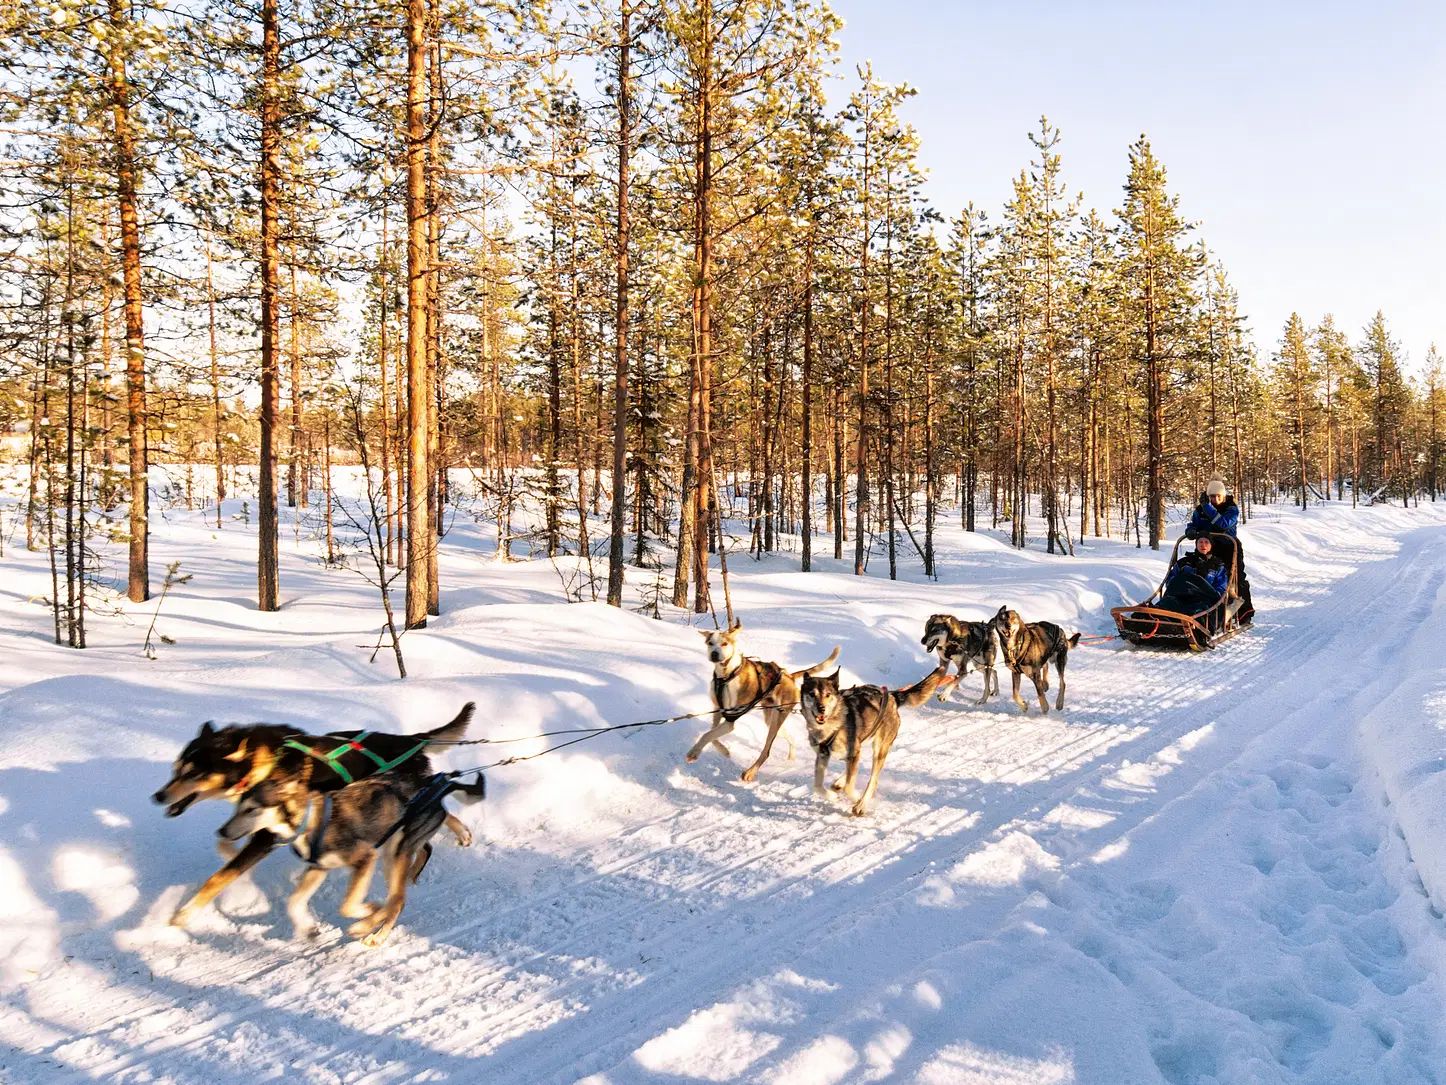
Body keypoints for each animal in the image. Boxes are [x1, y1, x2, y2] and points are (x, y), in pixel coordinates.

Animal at [160, 704, 475, 928]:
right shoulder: (254, 823)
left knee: (435, 824)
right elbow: (226, 845)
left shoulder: (269, 829)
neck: (262, 761)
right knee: (431, 833)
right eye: (175, 769)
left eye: (192, 773)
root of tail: (411, 740)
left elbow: (219, 877)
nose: (158, 796)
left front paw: (183, 914)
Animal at [686, 621, 841, 783]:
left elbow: (707, 735)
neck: (726, 676)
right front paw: (724, 751)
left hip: (775, 721)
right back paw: (791, 758)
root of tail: (789, 676)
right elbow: (712, 736)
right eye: (710, 643)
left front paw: (693, 752)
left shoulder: (730, 720)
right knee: (790, 738)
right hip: (771, 718)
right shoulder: (718, 711)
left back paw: (751, 772)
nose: (714, 654)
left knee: (766, 751)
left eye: (724, 643)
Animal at [799, 665, 956, 816]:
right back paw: (841, 782)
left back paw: (861, 804)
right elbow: (817, 786)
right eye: (812, 694)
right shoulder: (823, 755)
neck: (831, 724)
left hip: (879, 750)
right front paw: (832, 796)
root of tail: (892, 696)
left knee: (872, 781)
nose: (821, 708)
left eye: (828, 694)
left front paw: (857, 799)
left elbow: (849, 788)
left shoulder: (852, 751)